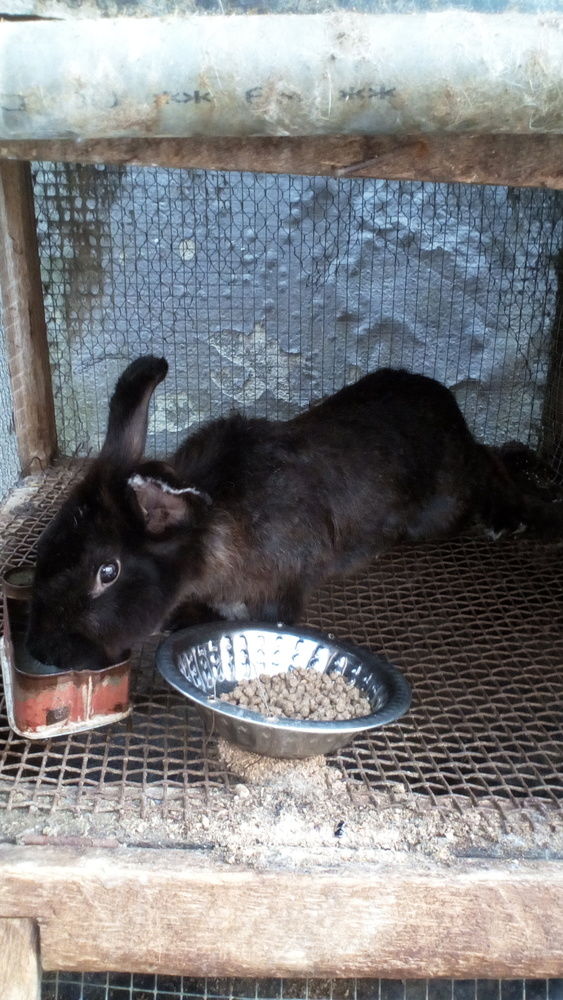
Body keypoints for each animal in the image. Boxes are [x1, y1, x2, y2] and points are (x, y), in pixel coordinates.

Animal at [26, 355, 562, 670]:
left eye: (108, 572)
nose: (46, 651)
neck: (214, 531)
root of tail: (449, 402)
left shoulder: (282, 588)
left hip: (444, 505)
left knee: (488, 461)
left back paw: (512, 514)